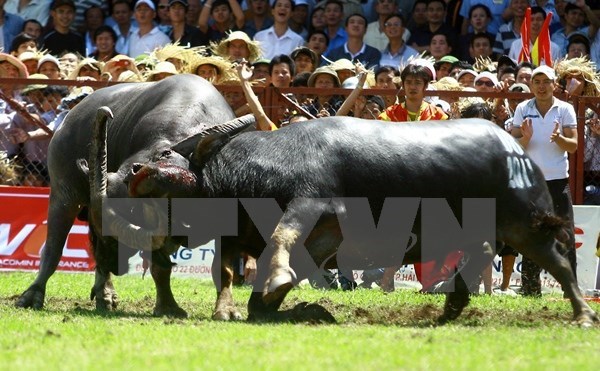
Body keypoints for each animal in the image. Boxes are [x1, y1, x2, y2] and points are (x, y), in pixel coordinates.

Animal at [125, 115, 596, 326]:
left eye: (166, 153)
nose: (131, 172)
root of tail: (517, 152)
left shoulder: (316, 205)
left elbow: (282, 237)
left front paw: (276, 285)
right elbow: (232, 270)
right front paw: (257, 304)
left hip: (524, 221)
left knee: (557, 262)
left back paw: (583, 314)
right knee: (487, 254)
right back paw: (452, 306)